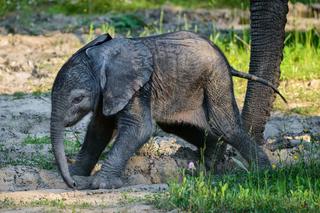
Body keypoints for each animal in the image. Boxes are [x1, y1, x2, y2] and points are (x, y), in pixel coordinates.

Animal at [49, 30, 280, 189]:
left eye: (78, 98)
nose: (72, 185)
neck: (102, 56)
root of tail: (225, 59)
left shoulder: (138, 87)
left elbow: (139, 129)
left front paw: (99, 184)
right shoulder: (109, 92)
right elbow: (98, 130)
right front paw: (75, 174)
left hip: (216, 77)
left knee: (224, 125)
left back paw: (263, 173)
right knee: (178, 125)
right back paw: (210, 167)